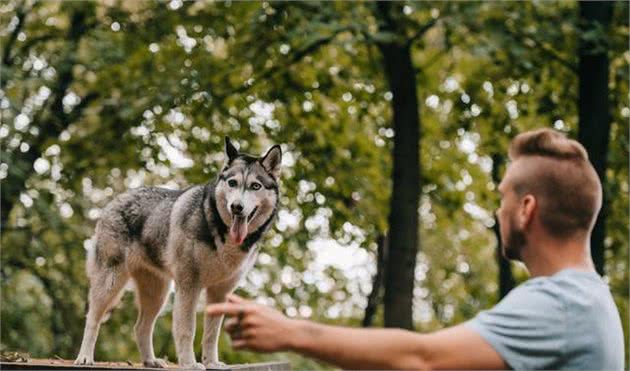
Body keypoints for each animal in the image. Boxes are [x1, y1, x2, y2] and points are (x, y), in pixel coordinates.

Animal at [74, 138, 282, 370]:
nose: (237, 207)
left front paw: (212, 362)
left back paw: (150, 361)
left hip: (157, 294)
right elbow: (187, 330)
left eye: (255, 186)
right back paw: (85, 357)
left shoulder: (220, 292)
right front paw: (190, 364)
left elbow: (211, 334)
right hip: (110, 284)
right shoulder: (189, 286)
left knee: (141, 327)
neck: (217, 226)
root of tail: (116, 199)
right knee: (92, 319)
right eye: (232, 183)